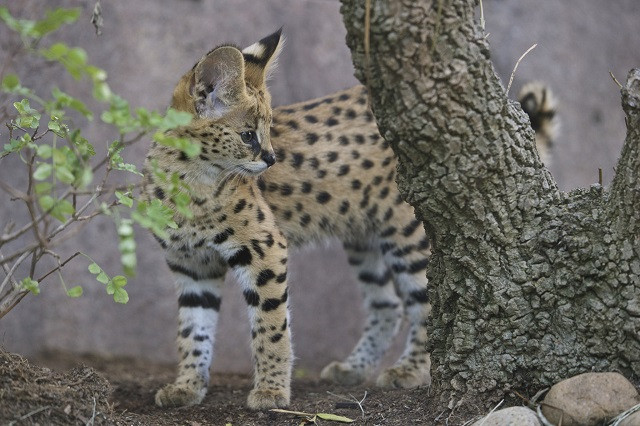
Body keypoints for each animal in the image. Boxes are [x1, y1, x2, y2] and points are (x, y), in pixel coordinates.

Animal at [143, 29, 557, 410]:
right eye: (247, 135)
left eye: (269, 130)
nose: (273, 159)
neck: (189, 180)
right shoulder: (191, 264)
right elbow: (192, 330)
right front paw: (187, 386)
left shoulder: (264, 247)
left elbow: (271, 325)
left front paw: (272, 392)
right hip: (364, 235)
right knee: (387, 304)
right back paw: (354, 368)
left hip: (407, 231)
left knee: (424, 302)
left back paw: (409, 370)